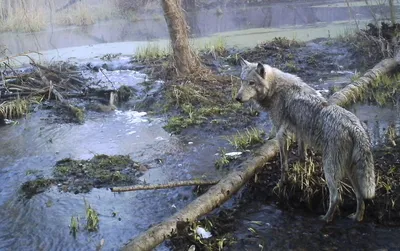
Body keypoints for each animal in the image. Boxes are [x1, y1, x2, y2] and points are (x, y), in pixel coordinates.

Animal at [234, 57, 376, 223]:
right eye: (242, 81)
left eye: (251, 83)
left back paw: (325, 219)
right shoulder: (300, 132)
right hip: (350, 171)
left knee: (336, 197)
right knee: (360, 197)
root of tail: (355, 127)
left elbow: (283, 164)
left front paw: (282, 183)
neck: (275, 89)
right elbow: (302, 155)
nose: (237, 98)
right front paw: (302, 171)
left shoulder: (281, 134)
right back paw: (357, 217)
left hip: (330, 171)